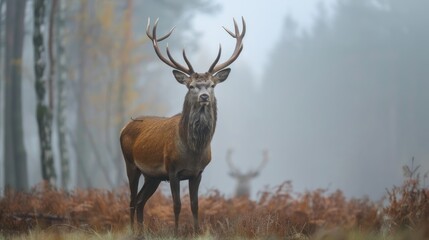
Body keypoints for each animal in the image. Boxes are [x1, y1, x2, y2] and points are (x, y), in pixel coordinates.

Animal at [118, 17, 246, 234]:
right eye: (191, 86)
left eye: (212, 85)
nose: (204, 96)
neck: (192, 151)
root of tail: (123, 128)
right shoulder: (172, 170)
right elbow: (176, 205)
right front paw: (177, 232)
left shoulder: (198, 173)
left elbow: (195, 205)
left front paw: (197, 231)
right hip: (130, 164)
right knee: (132, 200)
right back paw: (133, 231)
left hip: (152, 176)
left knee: (141, 201)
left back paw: (142, 232)